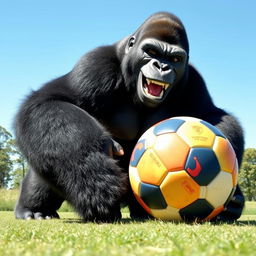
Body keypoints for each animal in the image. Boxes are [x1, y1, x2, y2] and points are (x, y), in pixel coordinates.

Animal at [15, 11, 245, 221]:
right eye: (151, 51)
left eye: (175, 58)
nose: (162, 66)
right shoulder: (94, 65)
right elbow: (48, 101)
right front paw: (94, 170)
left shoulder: (194, 80)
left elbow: (212, 115)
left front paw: (231, 196)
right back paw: (33, 209)